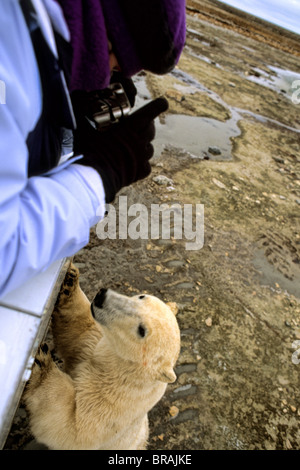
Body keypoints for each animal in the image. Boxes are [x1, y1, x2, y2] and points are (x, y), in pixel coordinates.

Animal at [24, 262, 180, 450]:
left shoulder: (115, 403)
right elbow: (78, 329)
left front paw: (42, 361)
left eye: (141, 330)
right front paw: (69, 279)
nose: (101, 297)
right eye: (142, 296)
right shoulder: (96, 341)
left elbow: (74, 426)